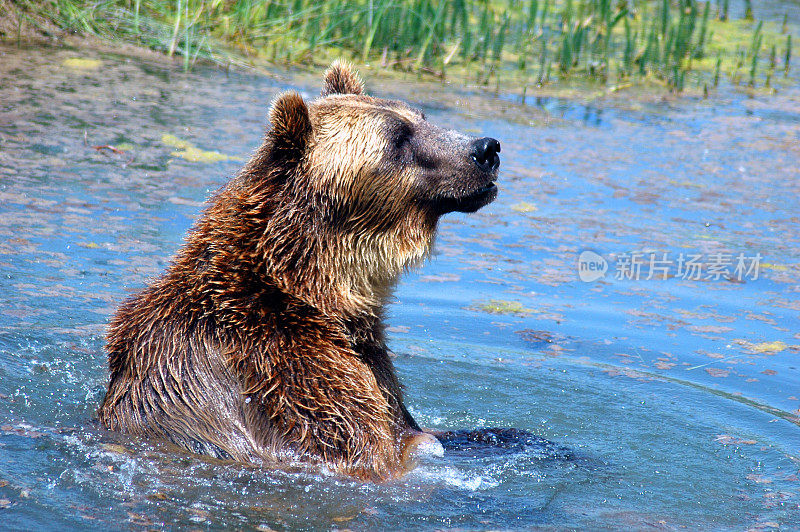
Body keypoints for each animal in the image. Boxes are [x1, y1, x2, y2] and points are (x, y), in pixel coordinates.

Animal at [98, 60, 500, 480]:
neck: (315, 286)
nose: (486, 149)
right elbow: (367, 444)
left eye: (421, 117)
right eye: (398, 138)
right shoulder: (287, 375)